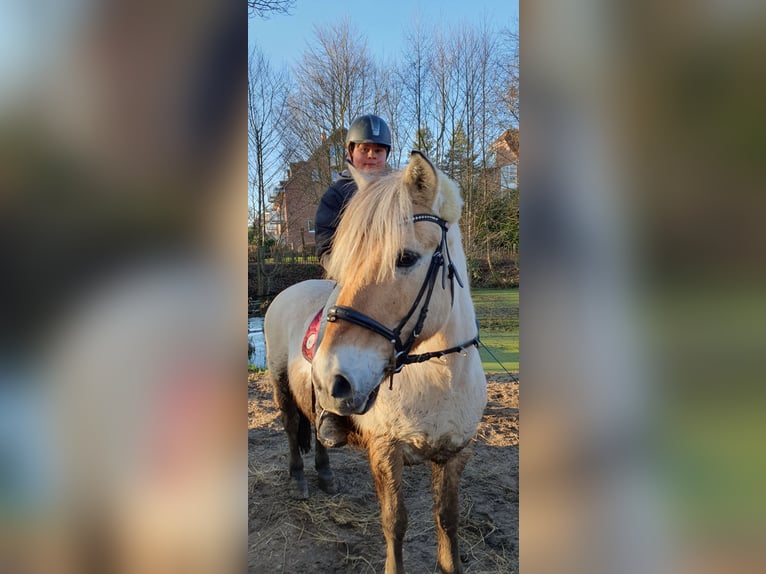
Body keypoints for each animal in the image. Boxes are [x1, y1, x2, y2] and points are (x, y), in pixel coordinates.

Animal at [264, 152, 488, 574]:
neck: (439, 377)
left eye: (406, 258)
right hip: (280, 383)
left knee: (316, 425)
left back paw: (325, 475)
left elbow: (447, 521)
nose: (332, 377)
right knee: (290, 427)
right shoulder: (386, 451)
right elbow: (394, 523)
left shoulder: (454, 454)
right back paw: (300, 480)